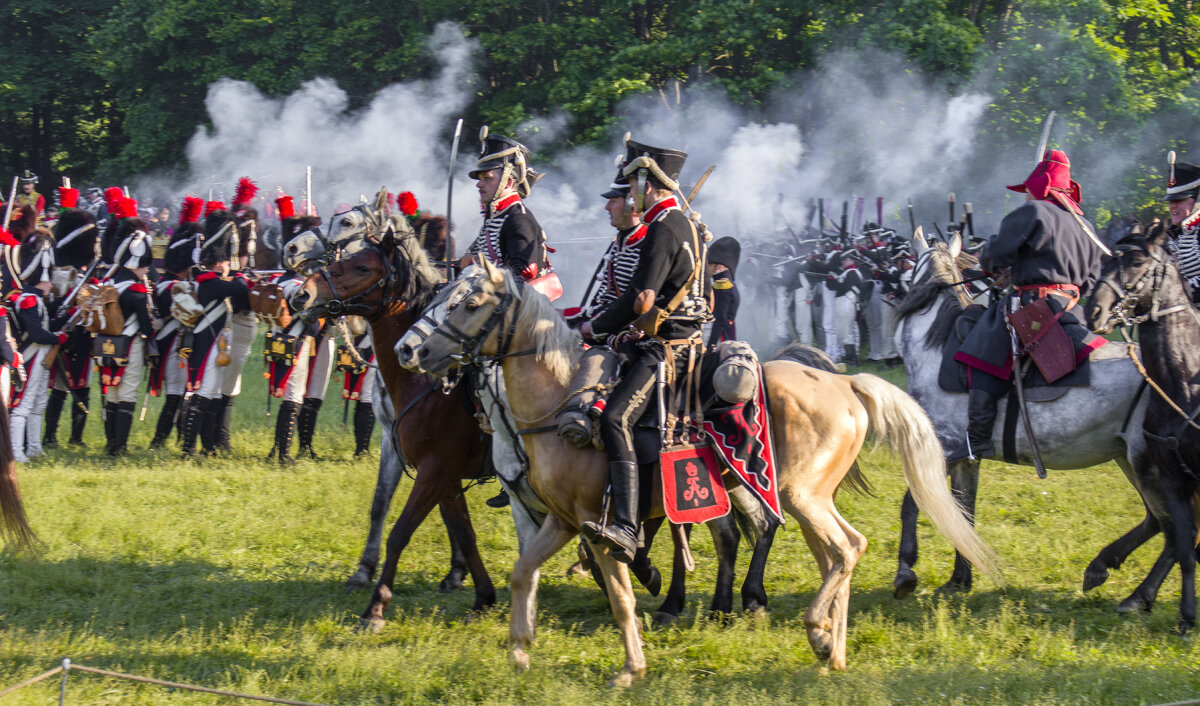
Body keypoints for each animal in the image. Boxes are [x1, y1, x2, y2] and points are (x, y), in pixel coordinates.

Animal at [398, 258, 998, 681]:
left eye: (469, 302)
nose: (408, 351)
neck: (562, 397)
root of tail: (846, 383)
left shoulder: (598, 524)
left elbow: (621, 596)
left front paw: (630, 667)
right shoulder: (562, 520)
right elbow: (524, 574)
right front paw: (520, 653)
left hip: (802, 498)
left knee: (846, 549)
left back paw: (813, 628)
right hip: (807, 501)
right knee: (838, 553)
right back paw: (832, 648)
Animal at [892, 232, 1180, 612]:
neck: (936, 350)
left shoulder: (943, 451)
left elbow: (913, 503)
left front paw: (906, 572)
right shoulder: (967, 458)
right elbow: (964, 513)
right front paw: (959, 580)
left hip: (1147, 462)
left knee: (1175, 529)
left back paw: (1139, 595)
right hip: (1129, 458)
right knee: (1158, 522)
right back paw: (1102, 567)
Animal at [1089, 229, 1200, 629]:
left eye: (1137, 262)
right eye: (1106, 260)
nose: (1094, 311)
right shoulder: (1173, 478)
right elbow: (1184, 546)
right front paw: (1186, 616)